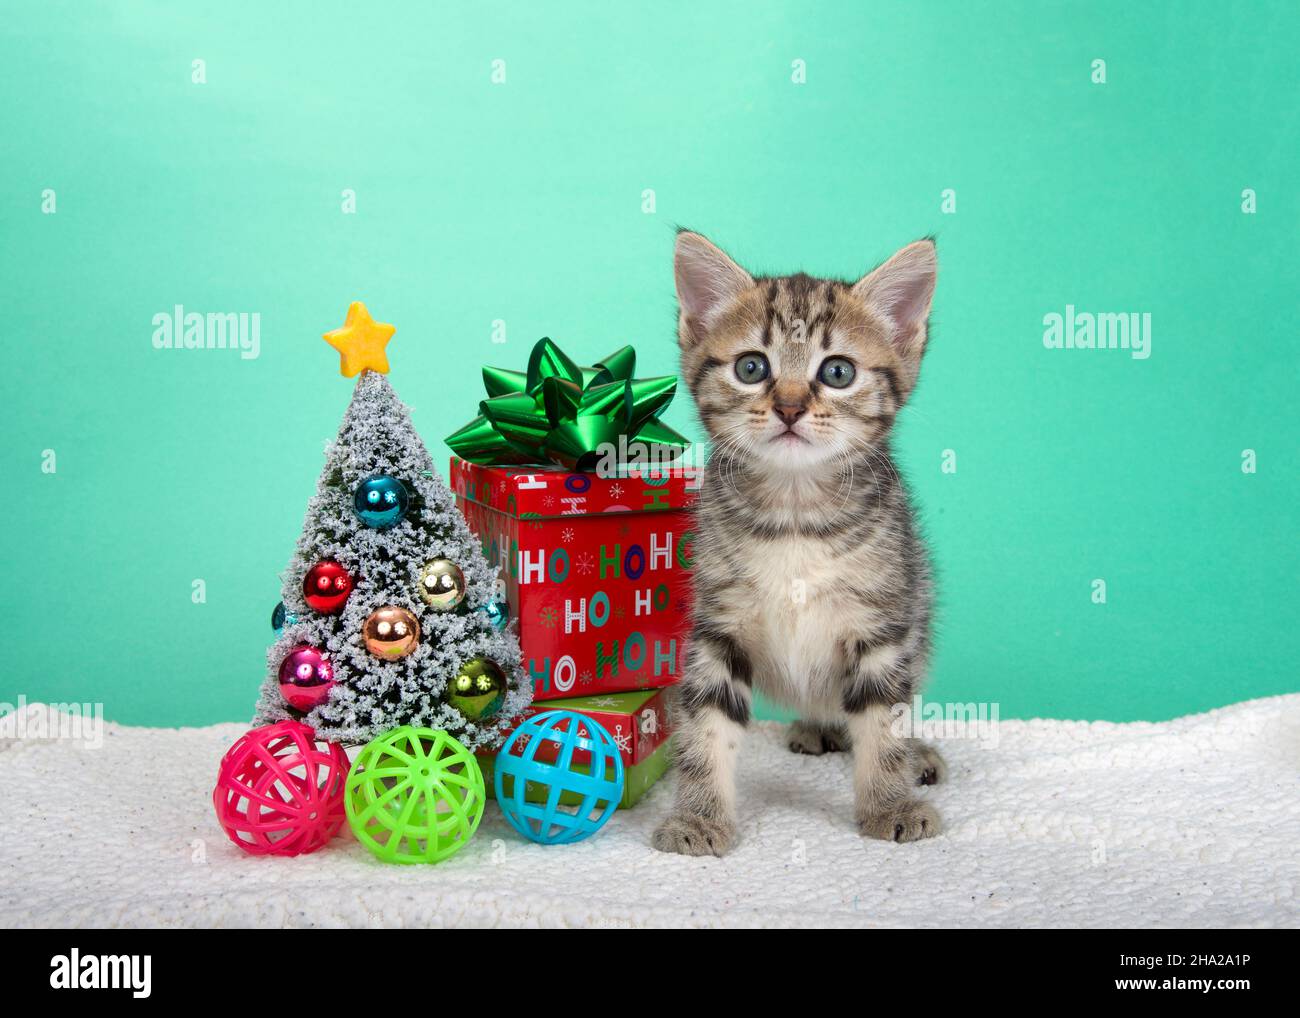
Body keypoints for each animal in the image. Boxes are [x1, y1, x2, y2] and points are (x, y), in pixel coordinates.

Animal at [650, 232, 946, 858]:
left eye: (837, 371)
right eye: (751, 367)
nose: (789, 406)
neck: (793, 516)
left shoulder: (882, 623)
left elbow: (883, 722)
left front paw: (891, 803)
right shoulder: (717, 625)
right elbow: (706, 723)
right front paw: (699, 816)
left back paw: (918, 756)